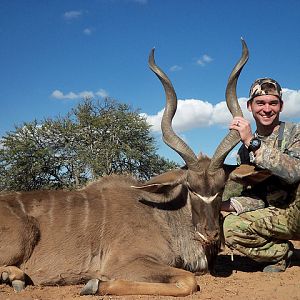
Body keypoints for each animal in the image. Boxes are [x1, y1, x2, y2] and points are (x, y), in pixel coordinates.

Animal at [0, 38, 248, 296]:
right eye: (191, 188)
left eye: (221, 187)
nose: (211, 234)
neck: (162, 215)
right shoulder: (123, 261)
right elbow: (188, 281)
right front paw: (94, 284)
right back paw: (14, 276)